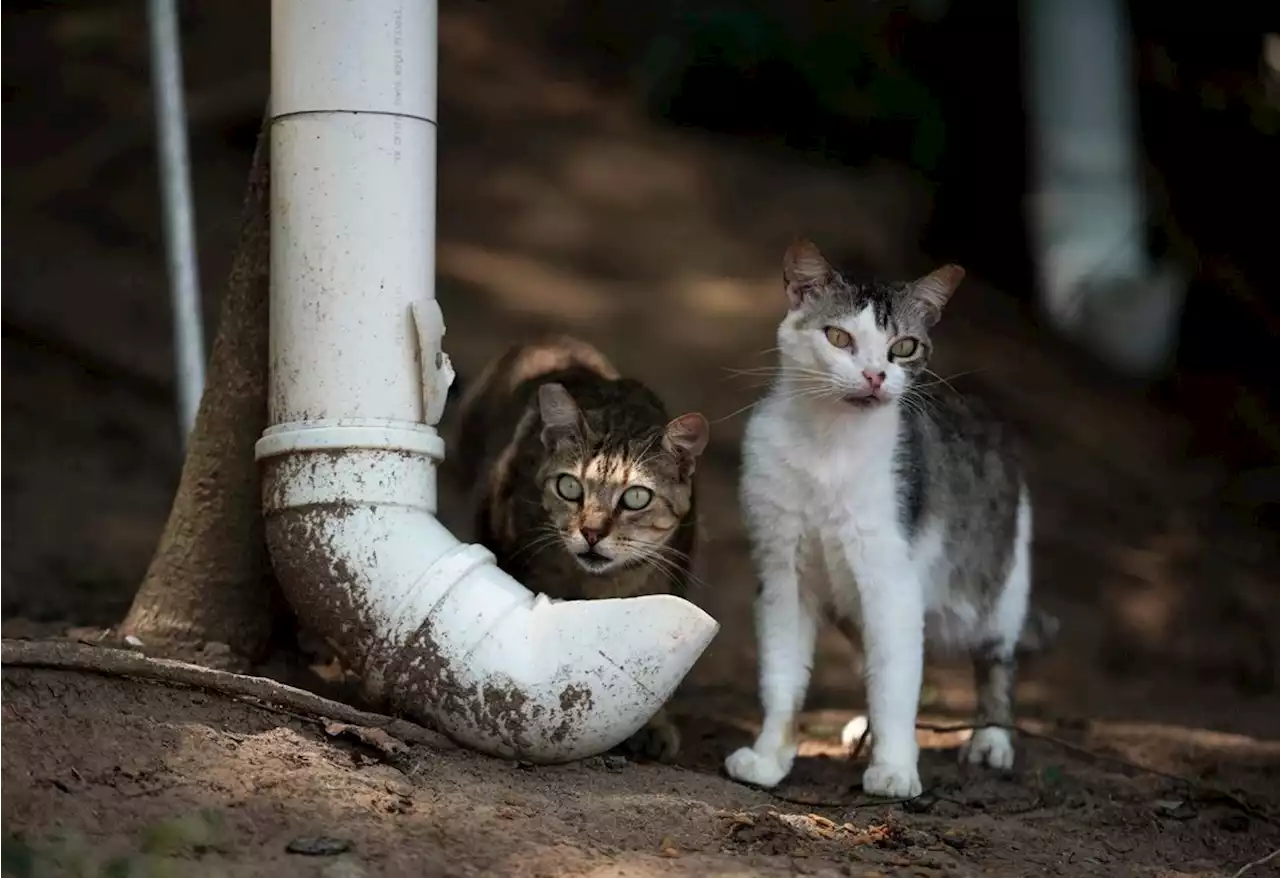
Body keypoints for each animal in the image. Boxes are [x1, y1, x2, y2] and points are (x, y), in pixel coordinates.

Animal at [727, 239, 1054, 798]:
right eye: (839, 338)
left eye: (903, 347)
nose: (876, 375)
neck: (828, 447)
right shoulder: (782, 573)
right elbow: (782, 677)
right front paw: (770, 757)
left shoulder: (892, 580)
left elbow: (897, 683)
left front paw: (896, 769)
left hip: (999, 585)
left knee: (994, 661)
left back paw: (991, 740)